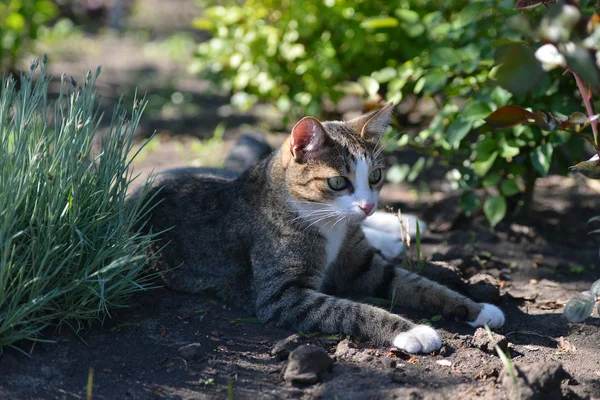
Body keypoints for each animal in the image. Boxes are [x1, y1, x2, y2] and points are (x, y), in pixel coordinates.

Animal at [132, 104, 506, 354]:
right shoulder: (283, 295)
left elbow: (420, 284)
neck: (330, 225)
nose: (367, 205)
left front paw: (478, 308)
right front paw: (413, 331)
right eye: (338, 182)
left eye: (375, 176)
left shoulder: (363, 264)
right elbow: (352, 308)